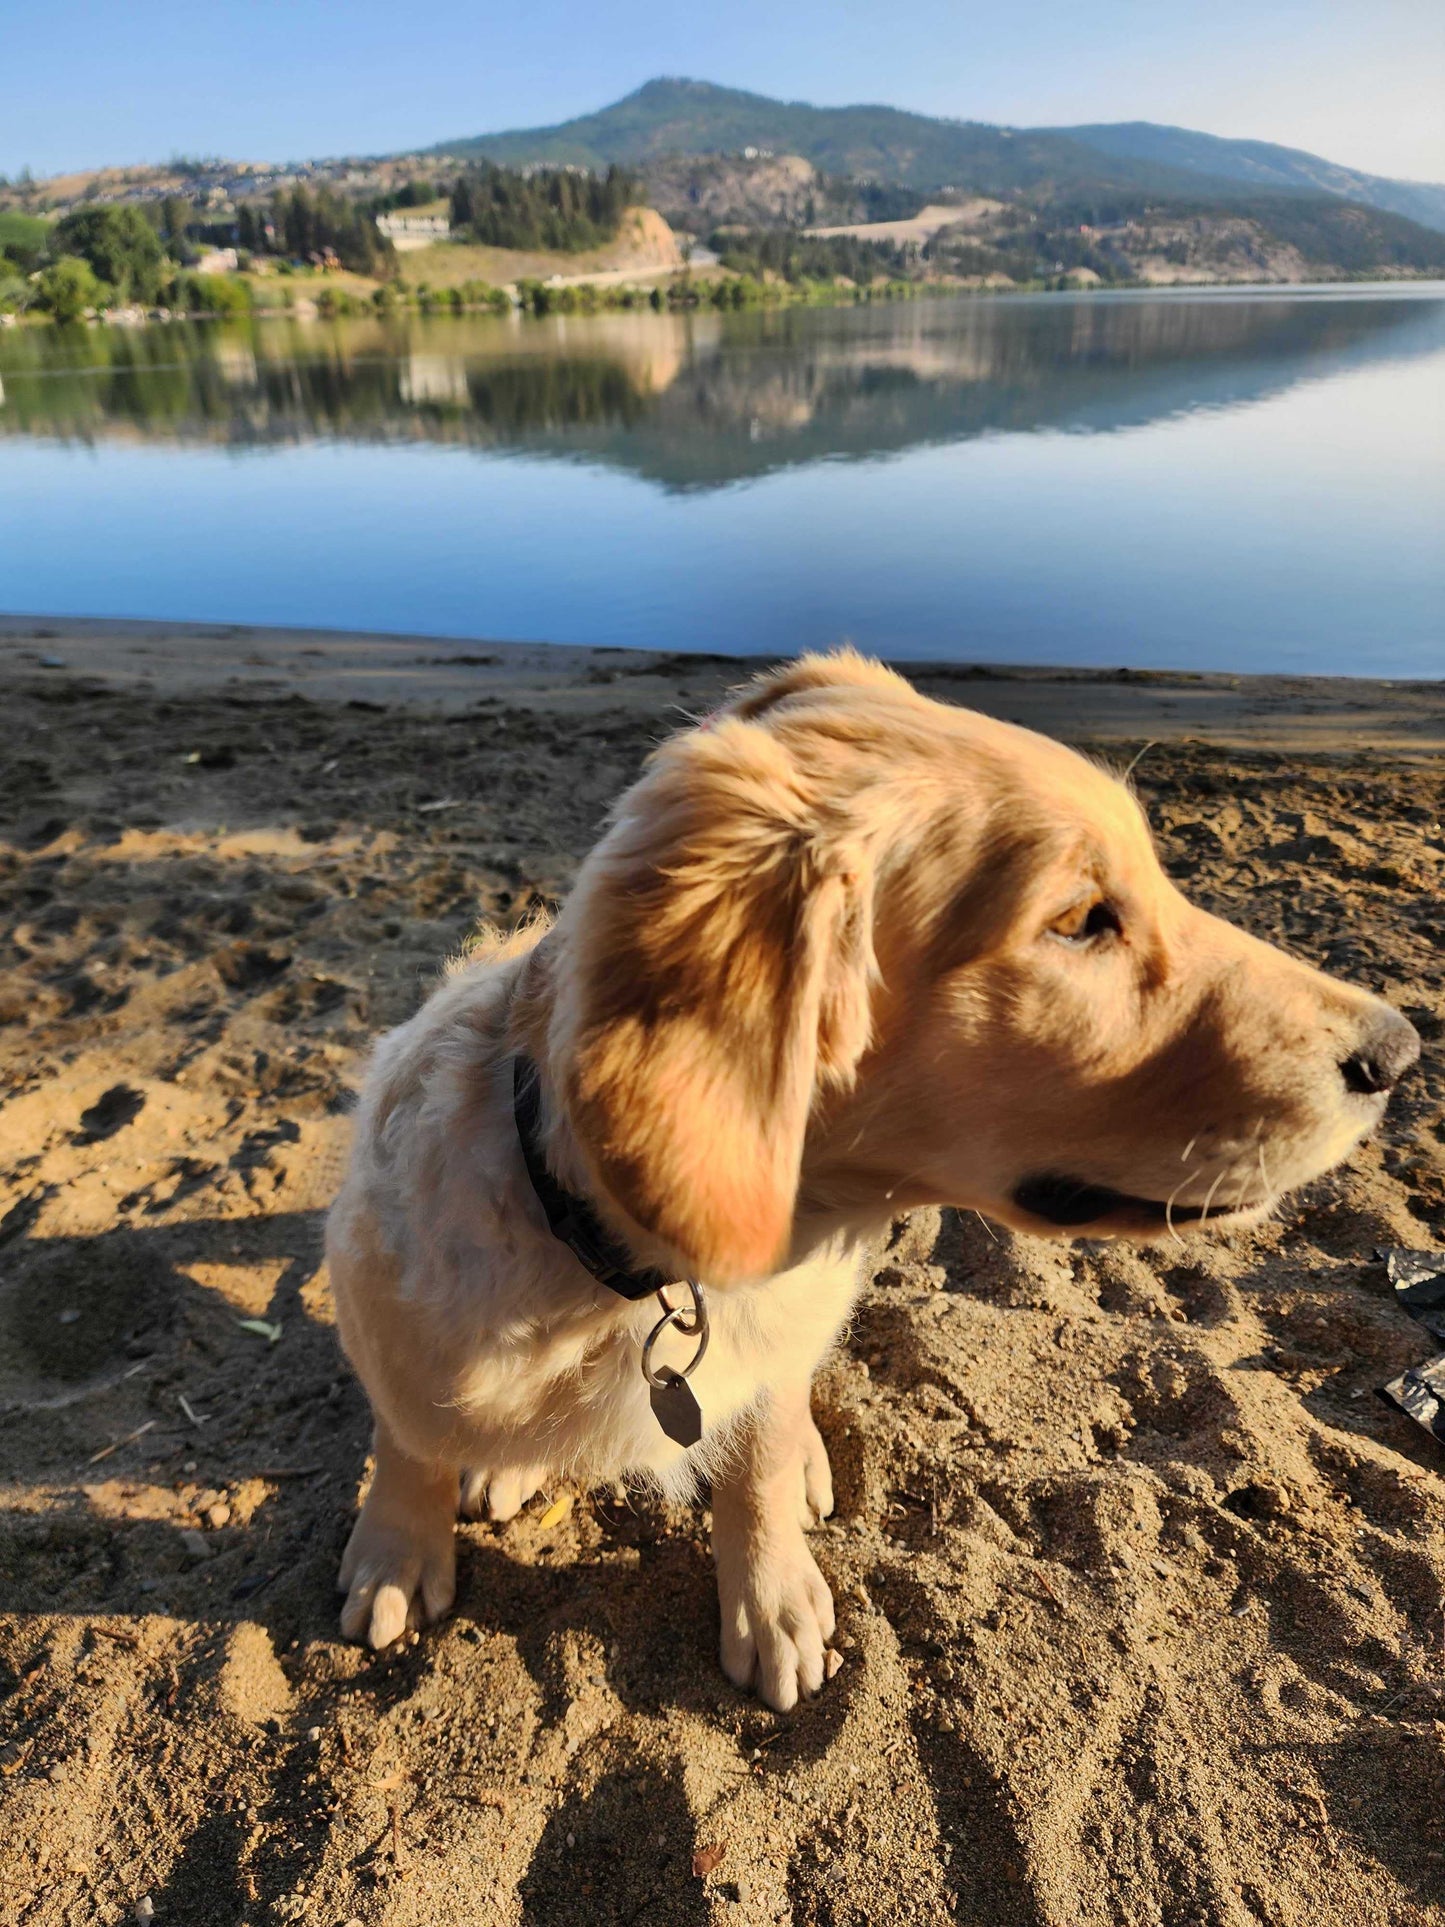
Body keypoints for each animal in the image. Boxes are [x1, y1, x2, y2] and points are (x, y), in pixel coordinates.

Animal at [321, 655, 1418, 1711]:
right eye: (1077, 922)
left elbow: (756, 1457)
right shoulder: (383, 1312)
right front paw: (396, 1550)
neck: (635, 1270)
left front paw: (770, 1597)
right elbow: (408, 1436)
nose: (1400, 1052)